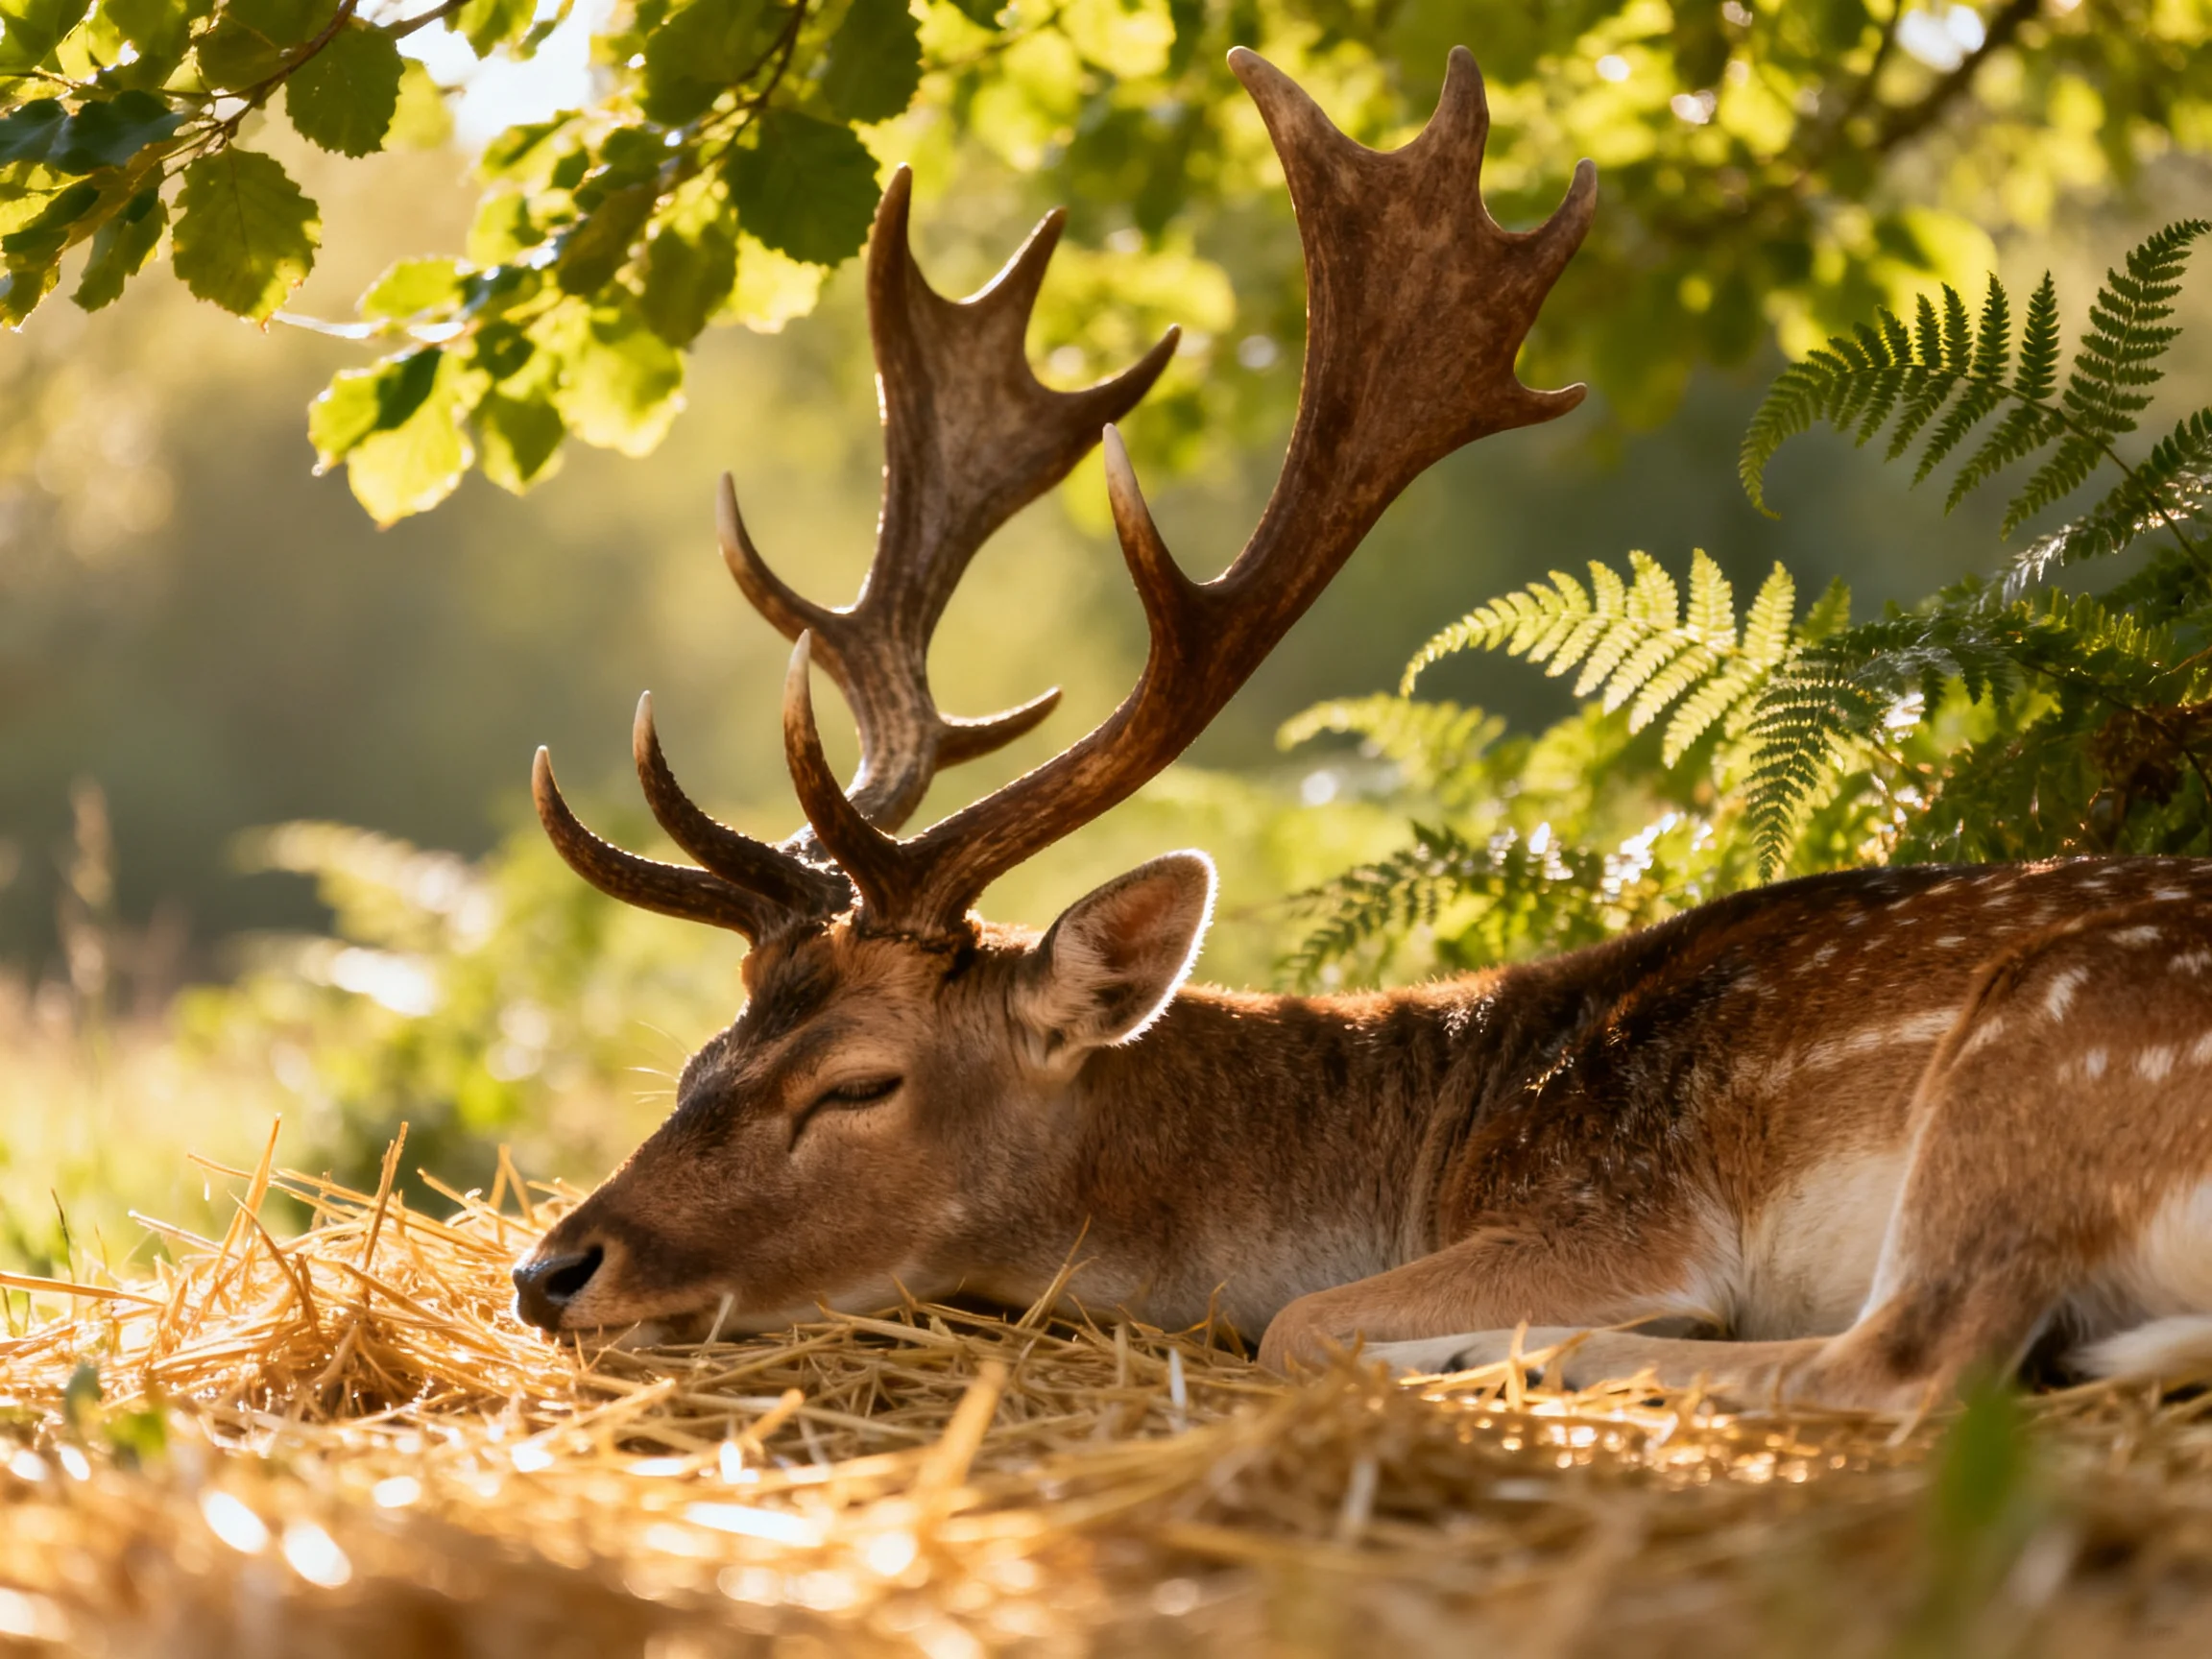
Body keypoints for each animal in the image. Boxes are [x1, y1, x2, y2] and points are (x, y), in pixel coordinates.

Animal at [509, 46, 2212, 1415]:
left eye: (859, 1084)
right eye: (700, 1061)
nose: (550, 1269)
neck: (1424, 1145)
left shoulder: (1620, 1210)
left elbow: (1305, 1322)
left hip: (2042, 1053)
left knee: (1919, 1353)